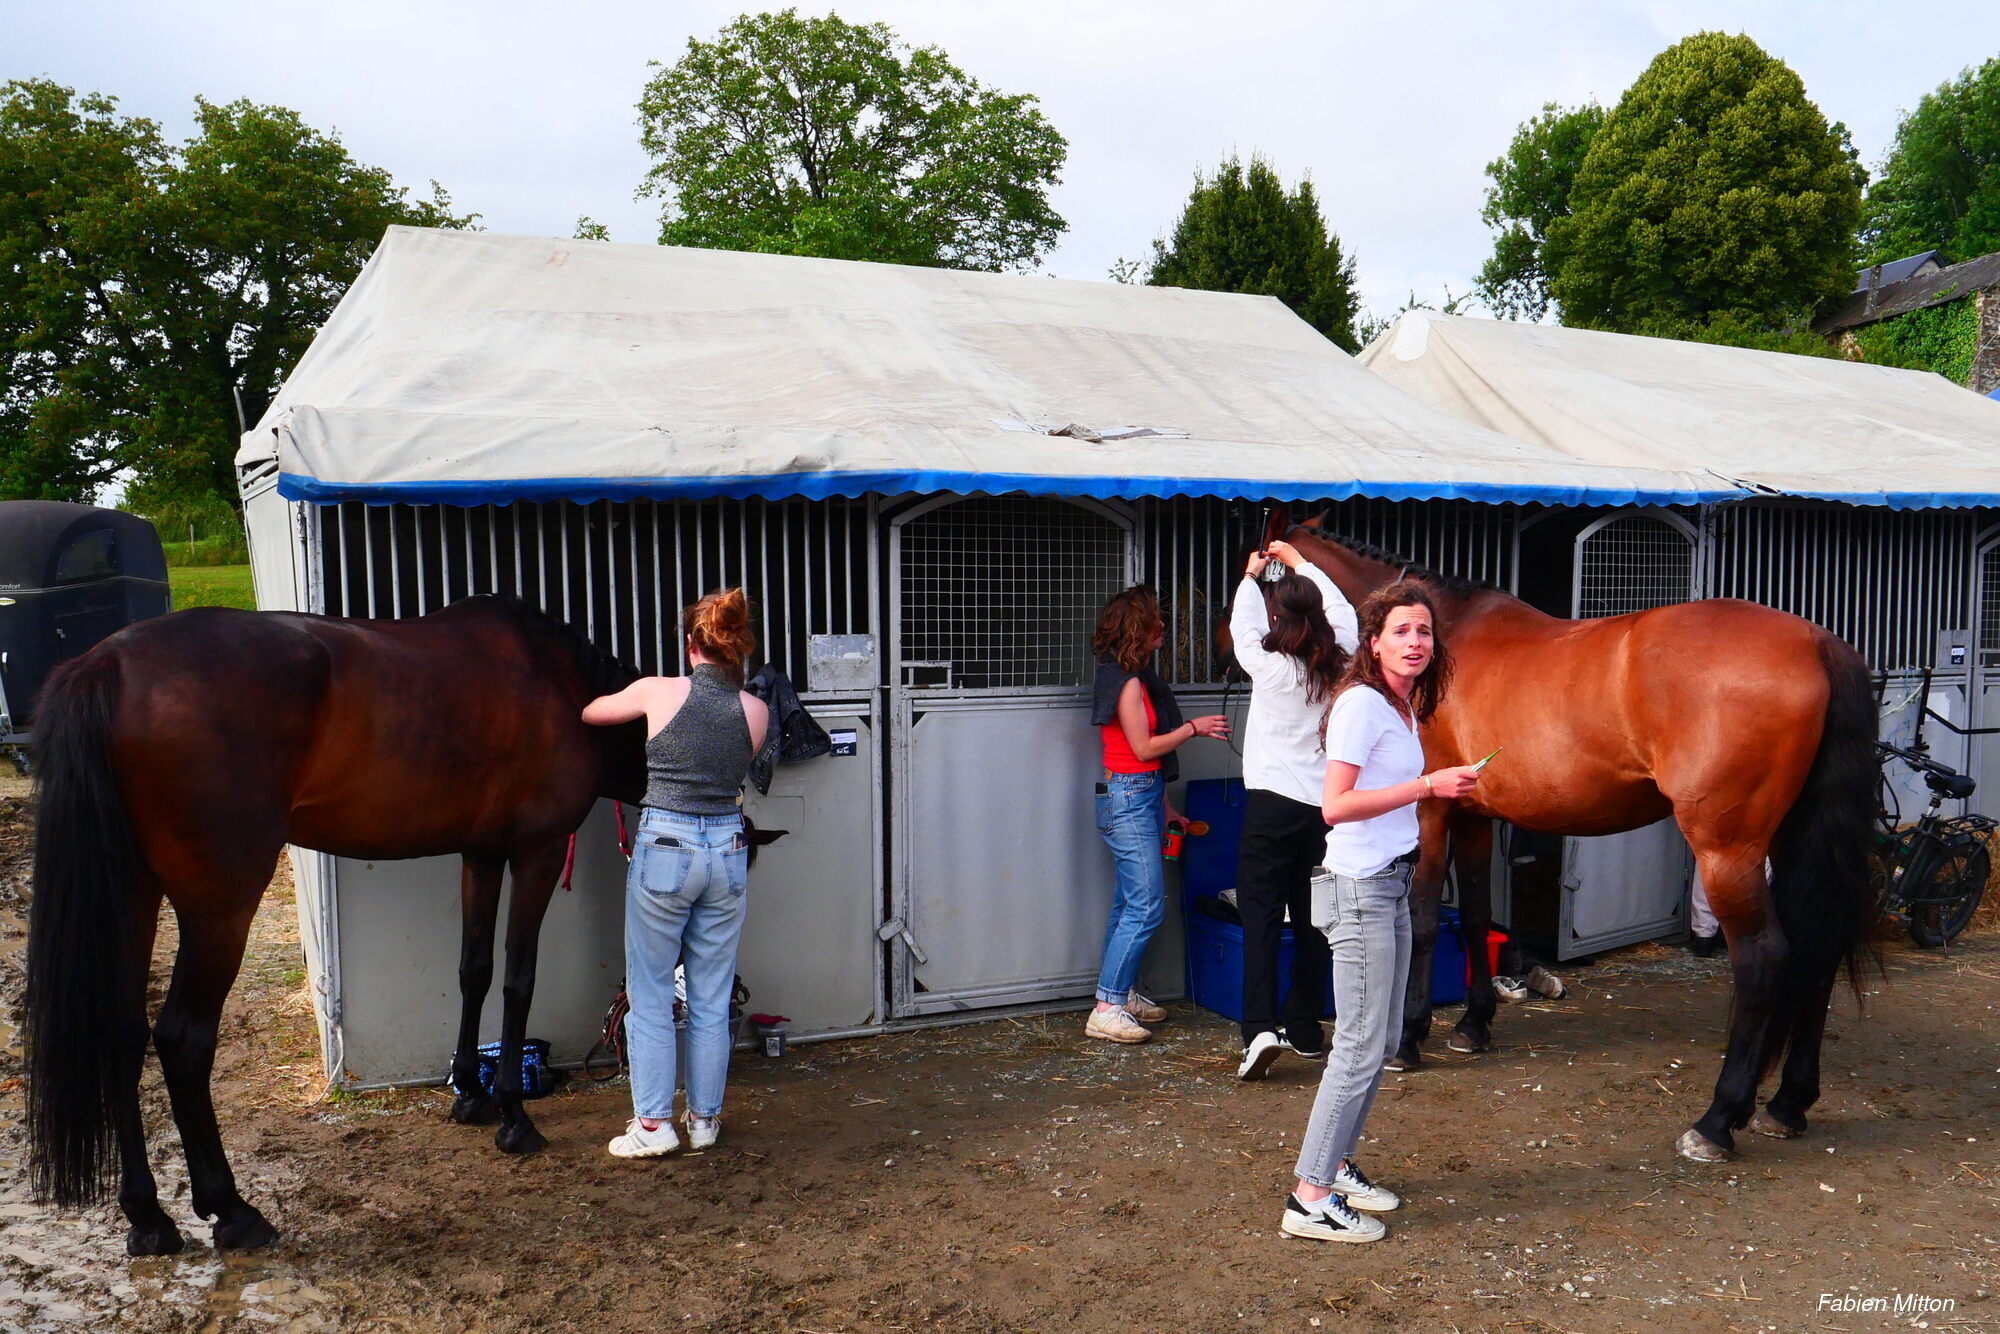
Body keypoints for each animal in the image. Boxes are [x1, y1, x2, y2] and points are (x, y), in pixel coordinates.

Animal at [25, 595, 651, 1255]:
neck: (562, 682)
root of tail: (109, 664)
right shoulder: (538, 852)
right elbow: (518, 981)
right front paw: (513, 1115)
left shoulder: (480, 854)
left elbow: (474, 971)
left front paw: (471, 1095)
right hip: (217, 908)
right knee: (182, 1040)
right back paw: (233, 1210)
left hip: (134, 894)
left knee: (122, 1034)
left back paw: (148, 1218)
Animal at [1219, 509, 1877, 1163]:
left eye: (1254, 583)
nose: (1230, 648)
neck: (1435, 638)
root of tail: (1819, 644)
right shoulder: (1474, 812)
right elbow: (1477, 914)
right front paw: (1473, 1026)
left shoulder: (1429, 811)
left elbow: (1426, 919)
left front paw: (1409, 1038)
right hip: (1791, 840)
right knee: (1819, 949)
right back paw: (1788, 1104)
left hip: (1727, 850)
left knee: (1766, 959)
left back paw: (1717, 1120)